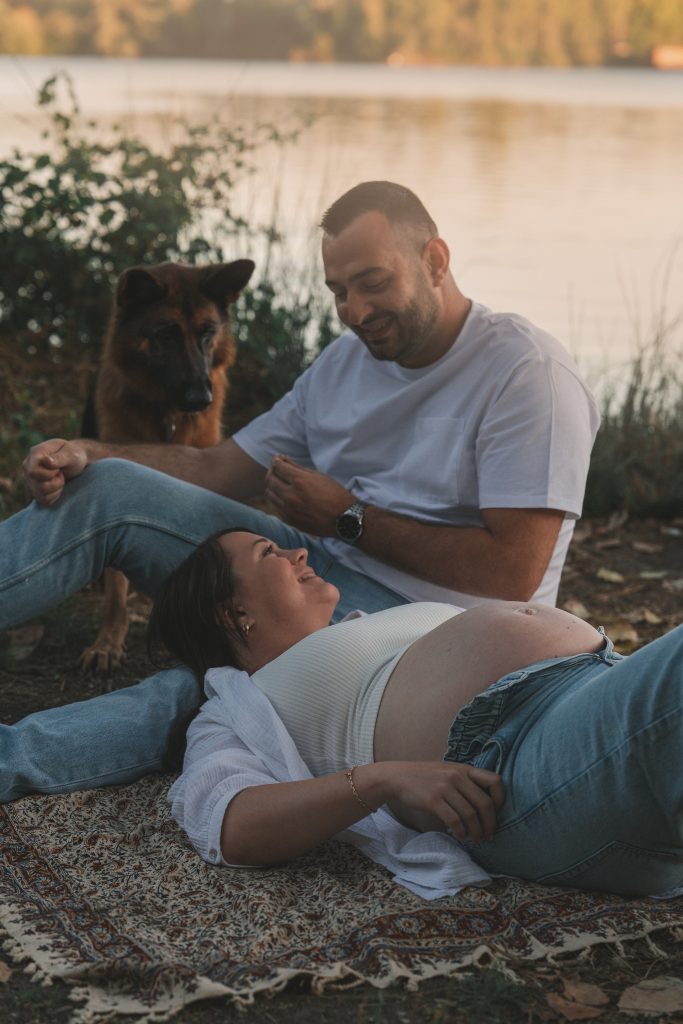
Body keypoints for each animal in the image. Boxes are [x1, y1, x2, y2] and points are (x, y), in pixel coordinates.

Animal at [80, 258, 255, 675]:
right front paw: (107, 642)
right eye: (166, 335)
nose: (200, 398)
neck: (167, 417)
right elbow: (116, 586)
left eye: (207, 333)